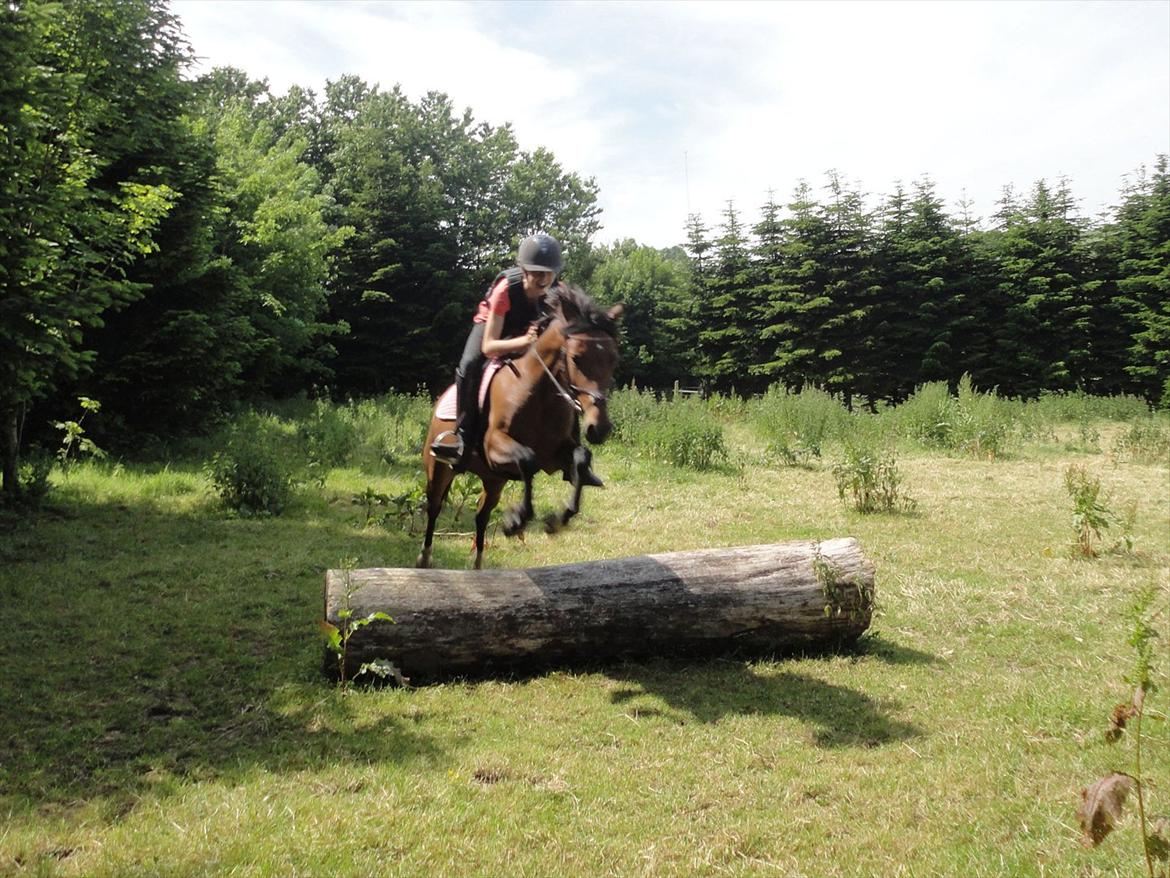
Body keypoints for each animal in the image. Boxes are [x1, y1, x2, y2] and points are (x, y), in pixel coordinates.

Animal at [416, 286, 623, 569]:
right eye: (576, 358)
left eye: (613, 360)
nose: (599, 428)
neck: (539, 395)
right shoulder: (495, 445)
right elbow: (527, 459)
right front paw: (516, 520)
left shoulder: (555, 456)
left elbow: (581, 458)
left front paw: (558, 519)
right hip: (439, 468)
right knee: (434, 506)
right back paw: (424, 558)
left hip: (493, 479)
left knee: (482, 514)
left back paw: (478, 565)